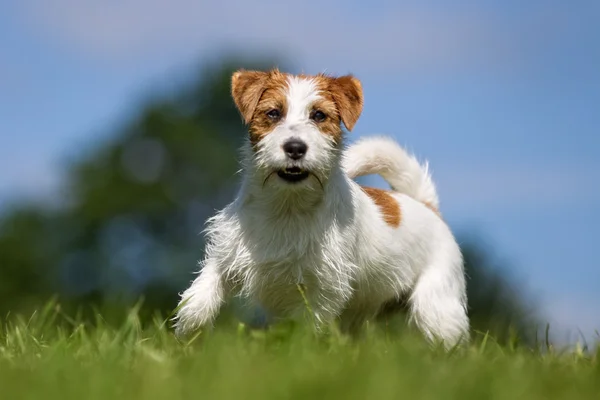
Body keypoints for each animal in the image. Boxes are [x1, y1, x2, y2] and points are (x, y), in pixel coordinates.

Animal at [171, 68, 472, 346]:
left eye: (319, 116)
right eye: (273, 113)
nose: (295, 147)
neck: (287, 207)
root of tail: (426, 205)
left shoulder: (322, 289)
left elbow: (306, 326)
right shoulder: (226, 255)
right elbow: (201, 293)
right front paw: (189, 335)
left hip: (435, 305)